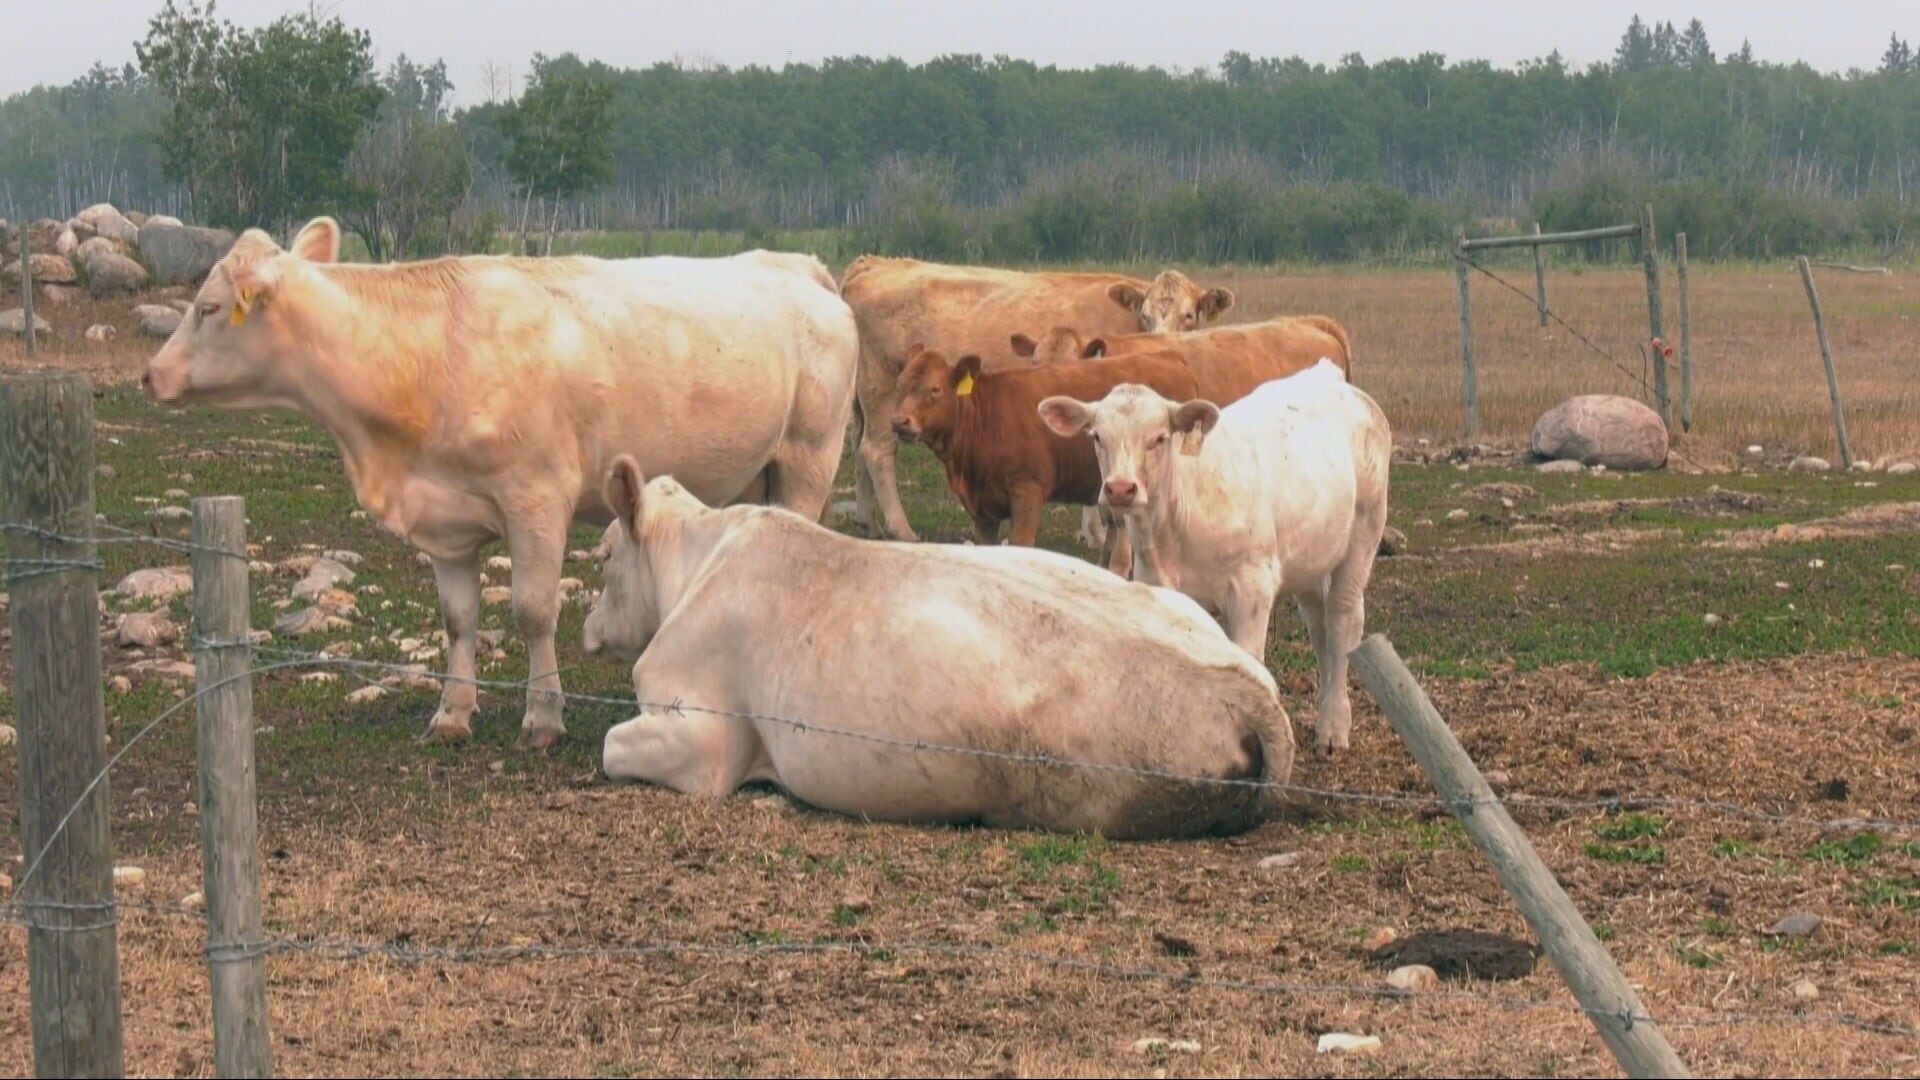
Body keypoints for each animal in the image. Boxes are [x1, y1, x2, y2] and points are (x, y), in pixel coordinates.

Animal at [142, 216, 859, 753]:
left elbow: (533, 610)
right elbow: (458, 619)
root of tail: (796, 264)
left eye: (208, 308)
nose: (151, 374)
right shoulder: (444, 518)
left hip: (808, 458)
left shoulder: (536, 498)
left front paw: (542, 718)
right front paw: (452, 713)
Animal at [579, 455, 1292, 839]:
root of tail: (1247, 695)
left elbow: (611, 745)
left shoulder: (702, 741)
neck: (700, 561)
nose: (587, 628)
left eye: (607, 555)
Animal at [889, 345, 1198, 564]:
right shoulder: (981, 510)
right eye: (900, 386)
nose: (900, 421)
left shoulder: (1027, 492)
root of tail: (1170, 356)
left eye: (935, 389)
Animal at [1038, 359, 1392, 757]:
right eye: (1097, 436)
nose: (1120, 489)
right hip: (1312, 555)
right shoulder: (1156, 585)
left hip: (1364, 529)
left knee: (1343, 620)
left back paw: (1334, 727)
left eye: (1160, 438)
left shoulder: (1252, 589)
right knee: (1320, 626)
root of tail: (1326, 373)